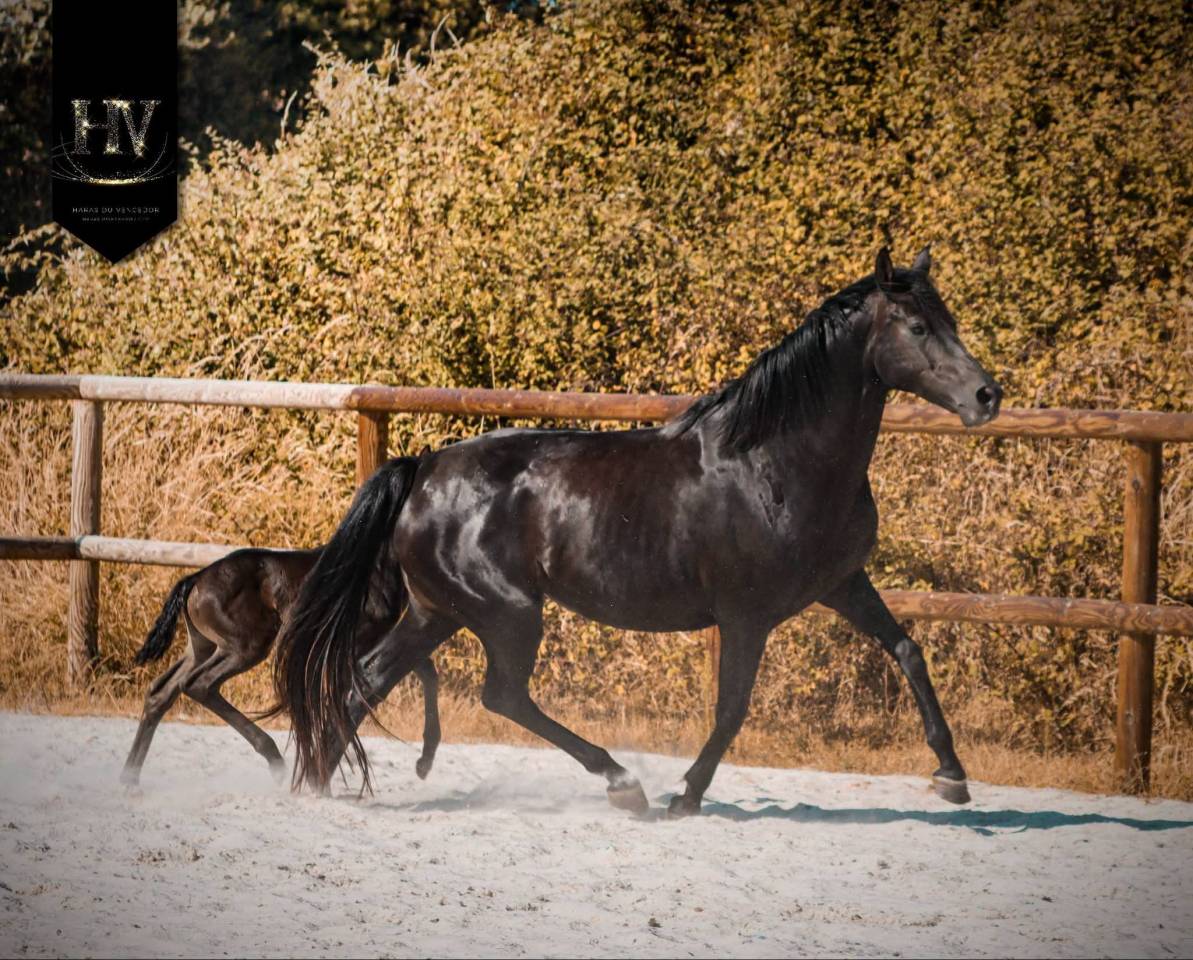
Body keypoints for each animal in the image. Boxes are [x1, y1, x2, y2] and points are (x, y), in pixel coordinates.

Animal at [120, 546, 442, 787]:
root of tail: (196, 578)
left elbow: (427, 671)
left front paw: (424, 762)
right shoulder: (354, 643)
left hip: (202, 647)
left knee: (161, 691)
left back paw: (130, 779)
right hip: (245, 646)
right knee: (199, 685)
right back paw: (274, 758)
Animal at [274, 246, 1002, 816]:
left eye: (951, 321)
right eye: (916, 326)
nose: (986, 396)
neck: (774, 462)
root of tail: (422, 469)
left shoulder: (843, 584)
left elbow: (906, 649)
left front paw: (951, 775)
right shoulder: (746, 614)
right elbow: (732, 708)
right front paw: (687, 795)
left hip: (438, 611)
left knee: (365, 680)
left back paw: (318, 785)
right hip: (506, 612)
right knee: (501, 694)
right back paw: (624, 783)